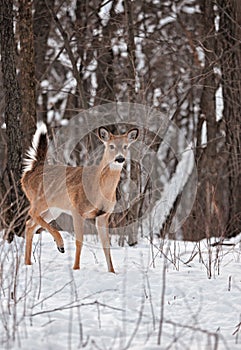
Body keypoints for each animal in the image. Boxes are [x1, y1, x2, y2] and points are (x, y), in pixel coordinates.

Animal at [22, 123, 139, 274]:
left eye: (125, 146)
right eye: (111, 146)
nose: (120, 158)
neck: (98, 189)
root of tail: (33, 169)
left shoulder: (103, 215)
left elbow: (106, 244)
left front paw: (112, 272)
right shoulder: (77, 209)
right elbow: (79, 240)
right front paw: (76, 268)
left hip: (54, 209)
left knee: (30, 224)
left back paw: (28, 263)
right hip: (40, 199)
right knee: (31, 213)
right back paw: (60, 245)